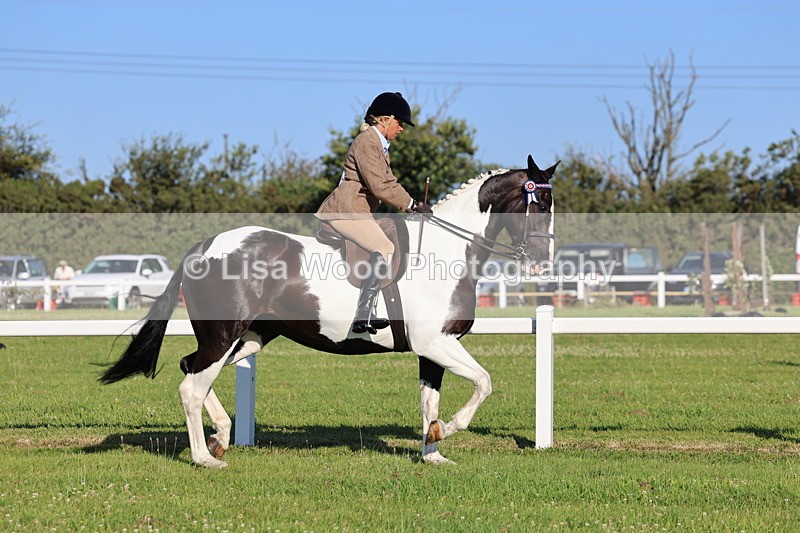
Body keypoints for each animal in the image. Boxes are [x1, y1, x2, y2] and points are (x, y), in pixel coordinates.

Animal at [99, 155, 558, 468]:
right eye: (538, 204)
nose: (543, 264)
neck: (447, 251)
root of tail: (204, 246)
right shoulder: (436, 343)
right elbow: (483, 382)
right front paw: (447, 429)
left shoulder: (433, 349)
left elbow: (430, 401)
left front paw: (432, 451)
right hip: (224, 334)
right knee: (191, 387)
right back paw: (204, 458)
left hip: (247, 338)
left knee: (190, 367)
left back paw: (221, 437)